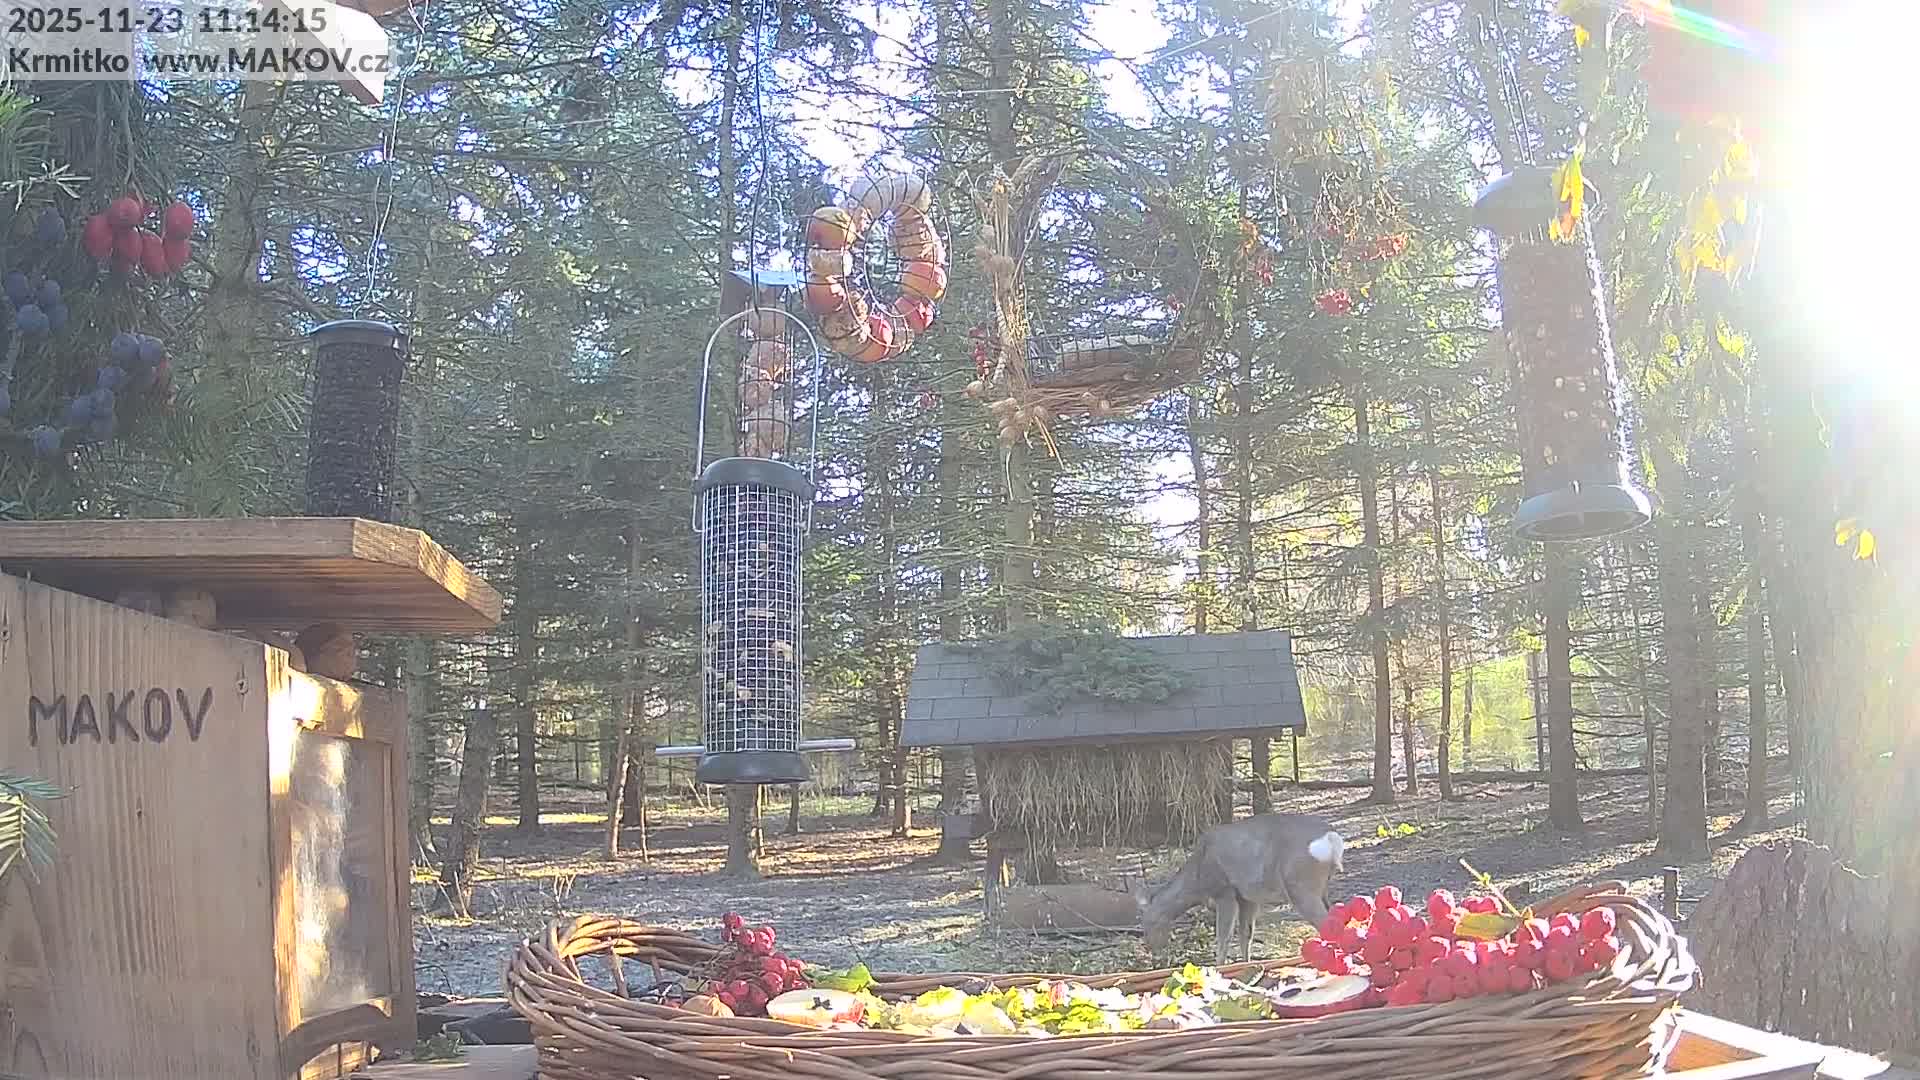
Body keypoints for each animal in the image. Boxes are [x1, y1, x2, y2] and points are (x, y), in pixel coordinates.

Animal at [1134, 812, 1346, 965]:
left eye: (1147, 924)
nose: (1153, 954)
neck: (1197, 879)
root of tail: (1331, 838)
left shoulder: (1224, 891)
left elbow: (1224, 937)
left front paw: (1219, 968)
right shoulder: (1248, 898)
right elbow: (1246, 935)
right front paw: (1246, 965)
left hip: (1301, 886)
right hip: (1321, 888)